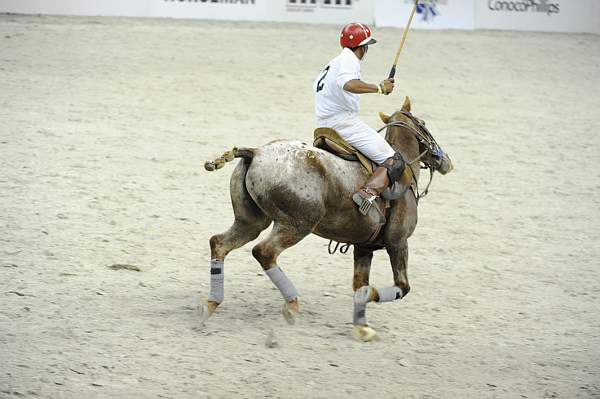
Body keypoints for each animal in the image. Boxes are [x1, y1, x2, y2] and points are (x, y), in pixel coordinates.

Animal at [202, 97, 450, 340]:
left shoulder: (364, 247)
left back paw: (211, 303)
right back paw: (292, 304)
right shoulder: (398, 242)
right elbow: (401, 287)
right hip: (297, 224)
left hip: (251, 222)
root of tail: (255, 152)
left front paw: (362, 328)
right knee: (264, 252)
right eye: (423, 123)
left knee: (220, 243)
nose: (446, 161)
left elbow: (360, 286)